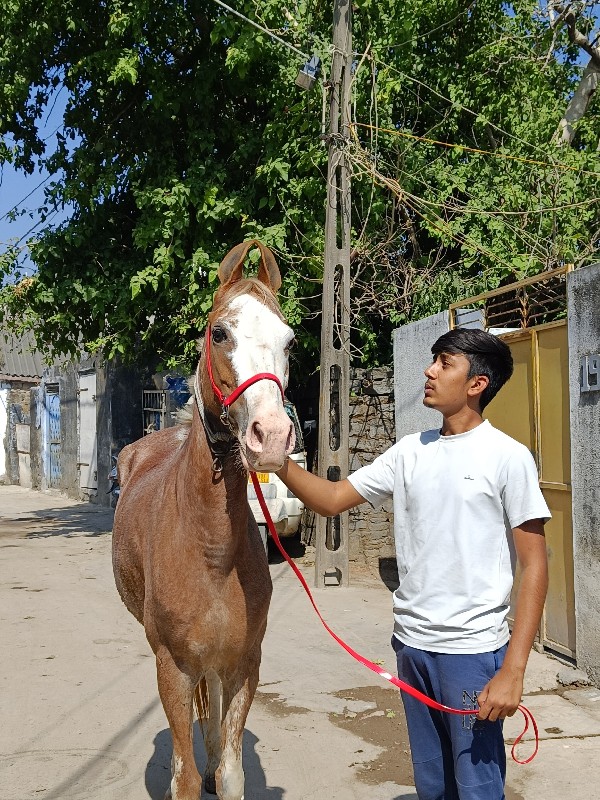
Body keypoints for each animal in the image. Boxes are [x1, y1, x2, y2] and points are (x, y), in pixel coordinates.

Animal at [112, 242, 296, 800]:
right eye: (220, 333)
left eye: (289, 341)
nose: (271, 435)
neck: (210, 548)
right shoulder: (172, 666)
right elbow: (185, 778)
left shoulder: (244, 665)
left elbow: (232, 772)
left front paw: (219, 766)